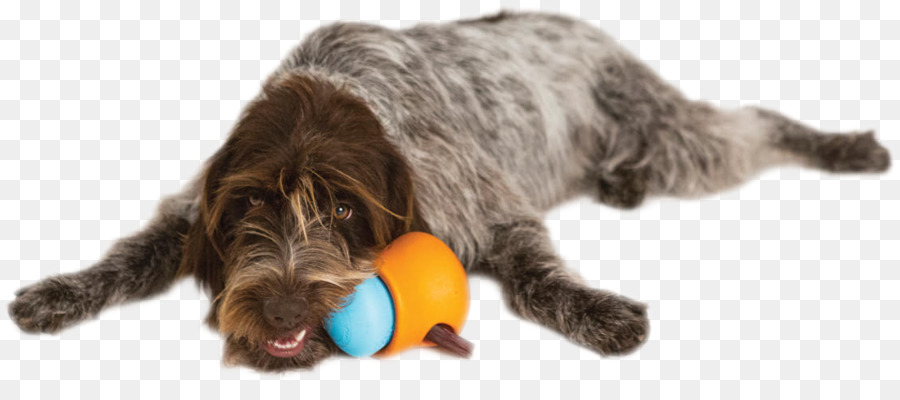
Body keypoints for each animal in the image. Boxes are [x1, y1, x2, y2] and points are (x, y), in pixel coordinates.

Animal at [8, 10, 892, 370]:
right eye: (254, 206)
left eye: (342, 208)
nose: (286, 312)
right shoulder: (198, 204)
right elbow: (128, 255)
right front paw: (59, 291)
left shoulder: (485, 209)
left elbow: (536, 281)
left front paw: (599, 313)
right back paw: (622, 182)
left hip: (668, 129)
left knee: (751, 124)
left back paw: (844, 145)